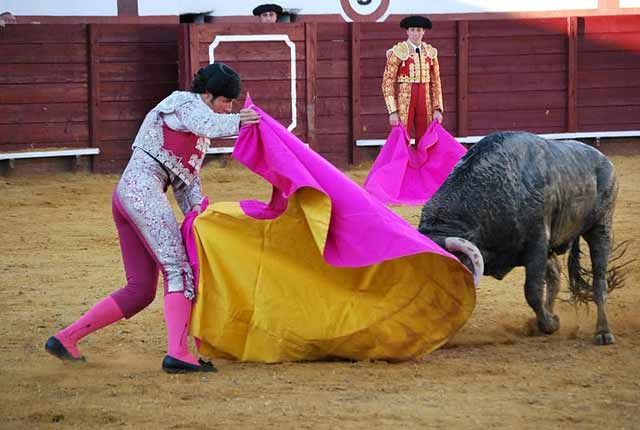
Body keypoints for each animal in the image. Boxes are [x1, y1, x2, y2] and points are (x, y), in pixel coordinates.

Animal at [418, 131, 616, 342]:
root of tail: (604, 160)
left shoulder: (537, 242)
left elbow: (533, 291)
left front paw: (550, 325)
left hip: (601, 228)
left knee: (599, 281)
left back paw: (603, 332)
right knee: (555, 272)